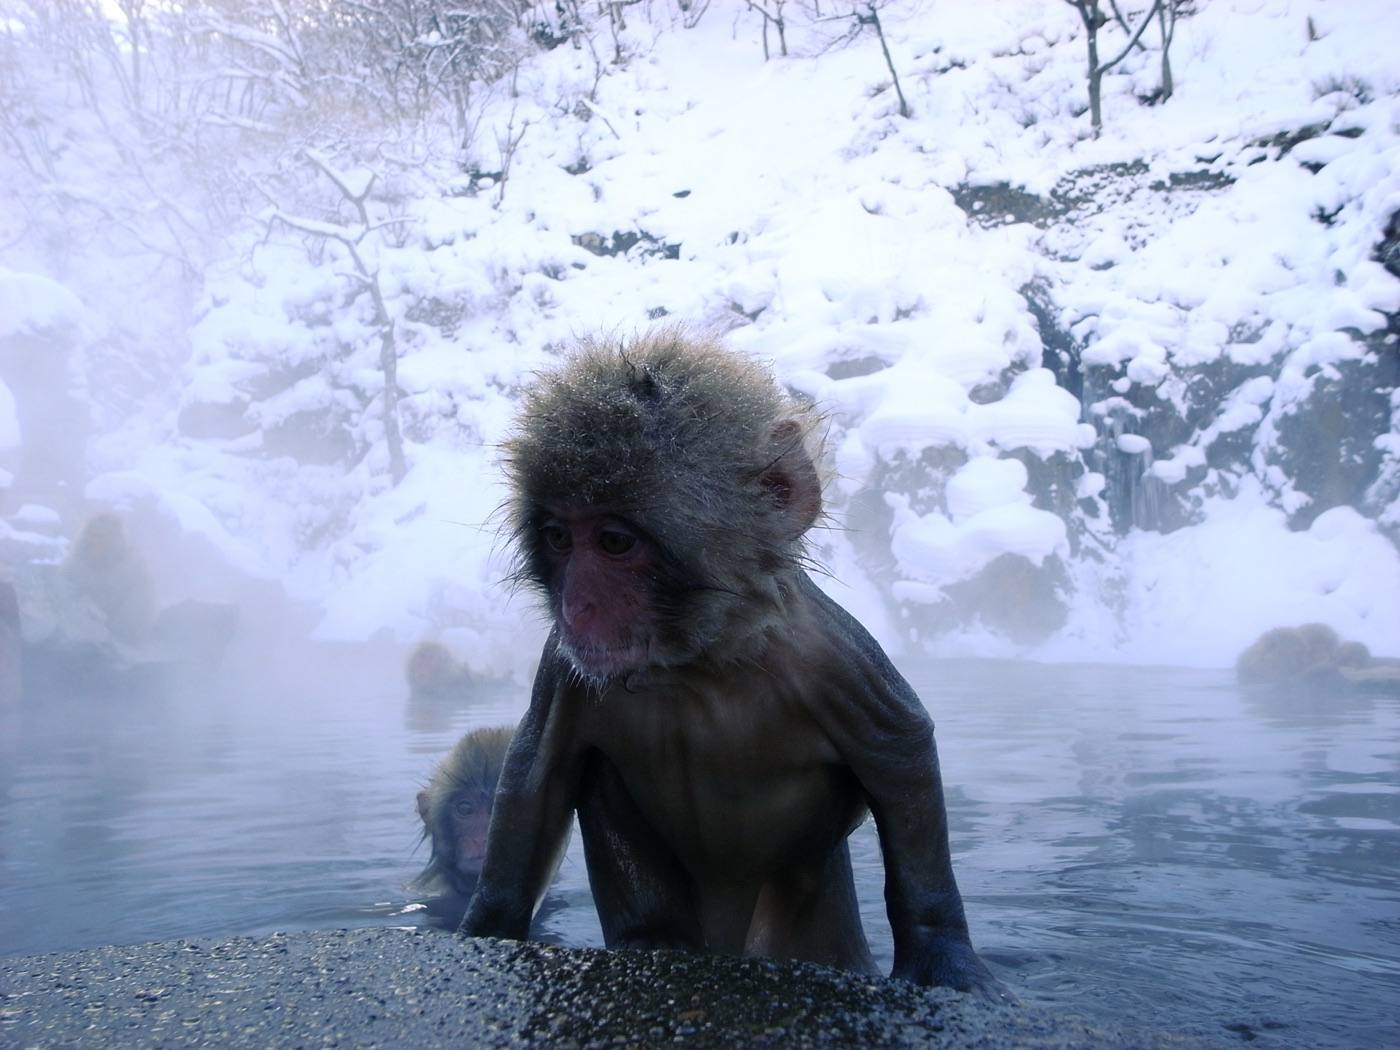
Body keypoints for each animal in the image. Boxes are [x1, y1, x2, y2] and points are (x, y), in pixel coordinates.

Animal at [460, 329, 1003, 998]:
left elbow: (901, 750)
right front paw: (486, 928)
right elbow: (537, 774)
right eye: (560, 537)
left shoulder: (829, 657)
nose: (575, 606)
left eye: (614, 541)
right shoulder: (565, 668)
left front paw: (941, 951)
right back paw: (653, 941)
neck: (701, 662)